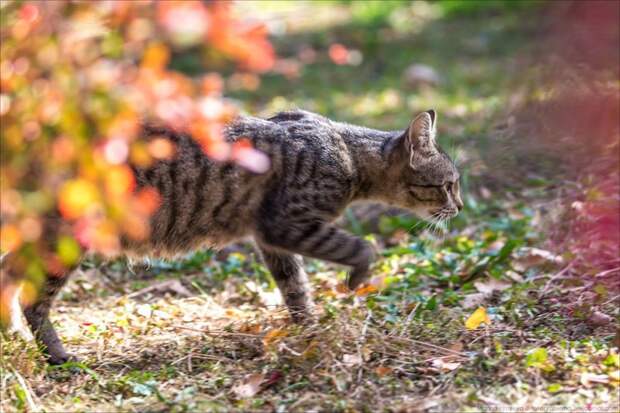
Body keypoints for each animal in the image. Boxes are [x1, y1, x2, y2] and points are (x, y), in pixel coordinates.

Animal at [6, 108, 460, 362]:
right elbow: (360, 247)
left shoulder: (272, 240)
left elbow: (296, 290)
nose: (457, 207)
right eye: (449, 185)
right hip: (64, 238)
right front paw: (356, 280)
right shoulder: (285, 225)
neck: (348, 152)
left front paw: (309, 330)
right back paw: (57, 355)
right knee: (32, 299)